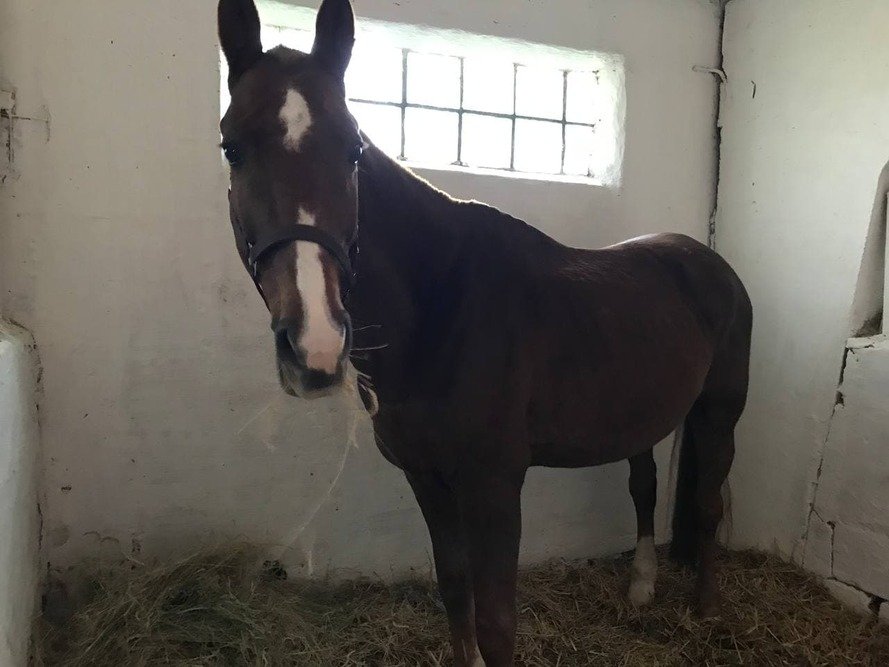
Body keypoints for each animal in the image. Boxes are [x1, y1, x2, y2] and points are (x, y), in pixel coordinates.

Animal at [219, 1, 752, 664]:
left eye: (353, 150)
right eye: (232, 147)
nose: (315, 344)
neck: (439, 310)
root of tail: (709, 261)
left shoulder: (494, 484)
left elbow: (498, 621)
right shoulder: (426, 476)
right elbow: (455, 588)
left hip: (719, 411)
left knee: (707, 502)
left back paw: (706, 608)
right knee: (645, 484)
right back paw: (643, 586)